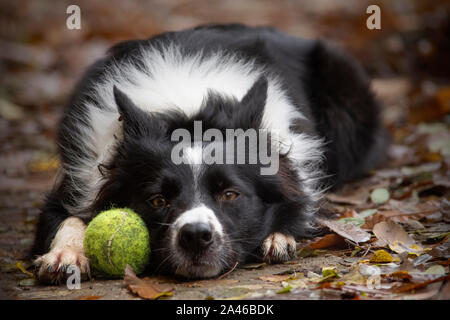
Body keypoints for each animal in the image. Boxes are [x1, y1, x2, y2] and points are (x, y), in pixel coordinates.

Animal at [30, 23, 386, 282]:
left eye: (230, 194)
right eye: (158, 200)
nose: (196, 236)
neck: (190, 113)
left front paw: (278, 237)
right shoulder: (77, 183)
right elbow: (68, 217)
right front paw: (66, 254)